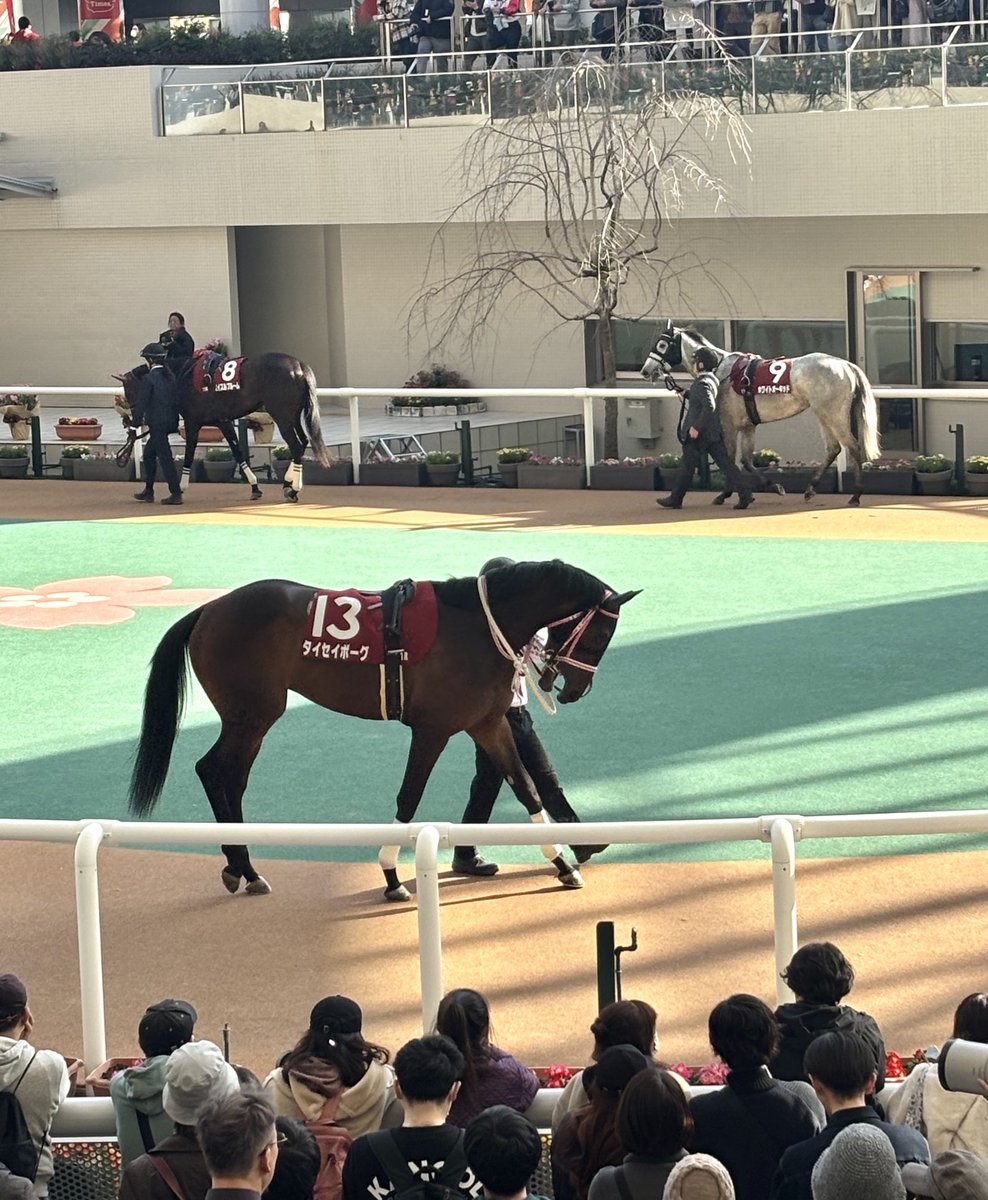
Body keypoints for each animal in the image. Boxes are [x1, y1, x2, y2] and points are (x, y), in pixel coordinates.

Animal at [114, 351, 330, 503]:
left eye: (129, 391)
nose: (131, 420)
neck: (182, 375)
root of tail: (298, 365)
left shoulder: (193, 422)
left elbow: (189, 454)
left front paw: (181, 487)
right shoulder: (223, 421)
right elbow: (238, 453)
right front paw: (254, 487)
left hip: (282, 416)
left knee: (295, 445)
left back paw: (294, 489)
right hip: (293, 415)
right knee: (303, 442)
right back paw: (287, 483)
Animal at [127, 560, 640, 902]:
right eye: (600, 636)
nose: (576, 690)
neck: (478, 625)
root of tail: (209, 608)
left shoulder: (488, 723)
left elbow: (527, 787)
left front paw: (562, 864)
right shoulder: (433, 729)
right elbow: (409, 798)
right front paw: (392, 875)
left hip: (250, 717)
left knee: (227, 777)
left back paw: (242, 869)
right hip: (253, 713)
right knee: (216, 772)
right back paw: (245, 869)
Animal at [640, 323, 881, 506]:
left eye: (661, 344)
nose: (645, 370)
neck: (722, 370)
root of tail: (846, 365)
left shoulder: (729, 423)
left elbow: (729, 458)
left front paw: (725, 494)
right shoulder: (748, 425)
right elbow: (746, 461)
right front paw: (774, 486)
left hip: (832, 413)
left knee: (852, 446)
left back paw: (856, 494)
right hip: (822, 413)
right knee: (833, 448)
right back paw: (810, 489)